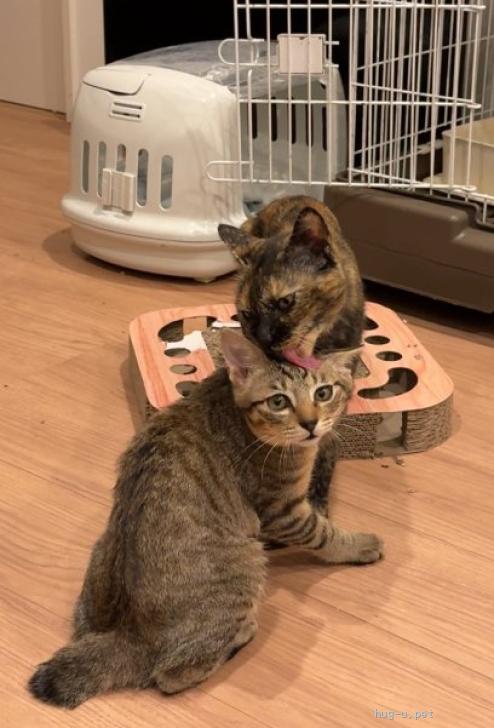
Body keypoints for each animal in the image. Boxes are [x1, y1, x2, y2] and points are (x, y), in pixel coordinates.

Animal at [28, 330, 382, 709]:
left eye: (323, 393)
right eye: (278, 401)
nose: (311, 424)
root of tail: (127, 635)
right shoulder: (283, 510)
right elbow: (325, 534)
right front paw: (361, 545)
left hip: (97, 562)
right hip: (247, 566)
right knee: (172, 676)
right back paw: (240, 636)